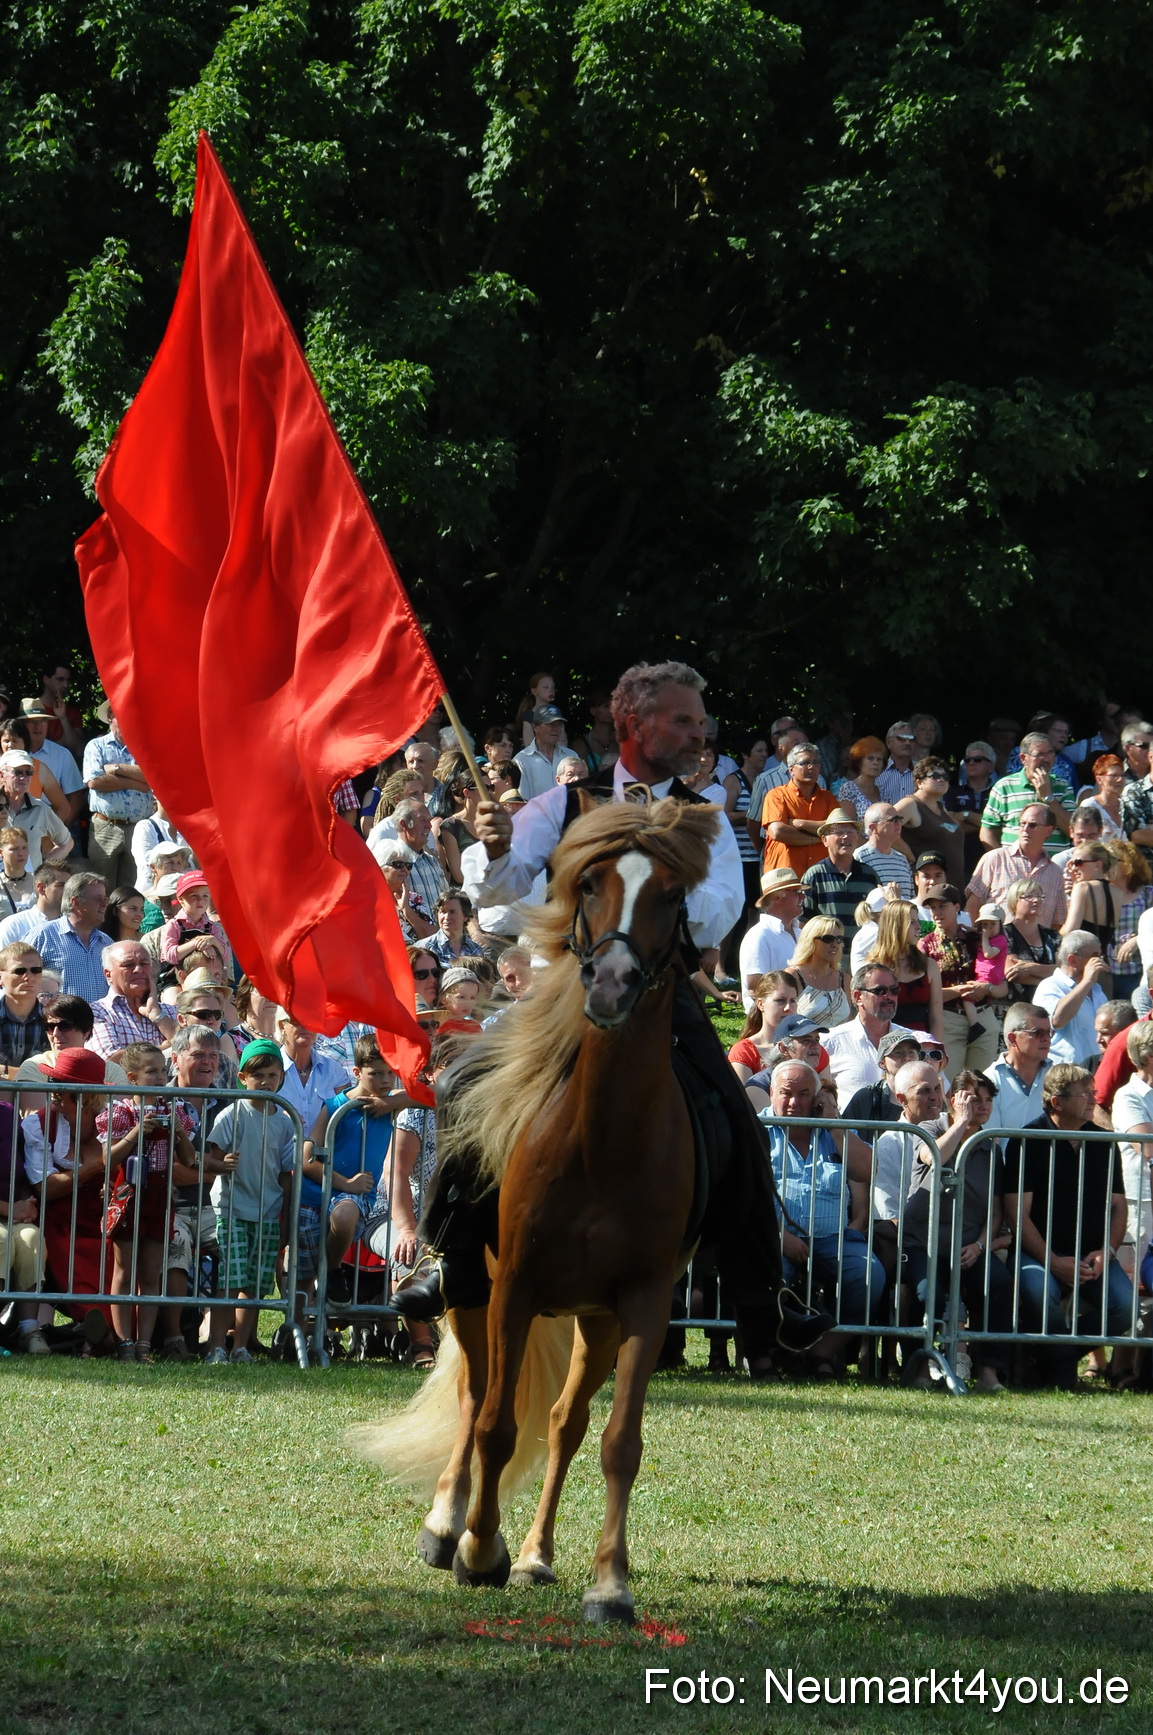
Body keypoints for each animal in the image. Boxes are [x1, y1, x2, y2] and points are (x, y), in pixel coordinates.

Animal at [357, 795, 721, 1624]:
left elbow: (618, 1440)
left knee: (564, 1422)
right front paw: (475, 1548)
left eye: (670, 894)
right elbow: (495, 1422)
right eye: (587, 883)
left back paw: (535, 1556)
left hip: (593, 1317)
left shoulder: (642, 1302)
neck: (600, 1140)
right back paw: (447, 1524)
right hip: (473, 1291)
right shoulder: (514, 1285)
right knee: (474, 1395)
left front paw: (608, 1582)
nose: (612, 983)